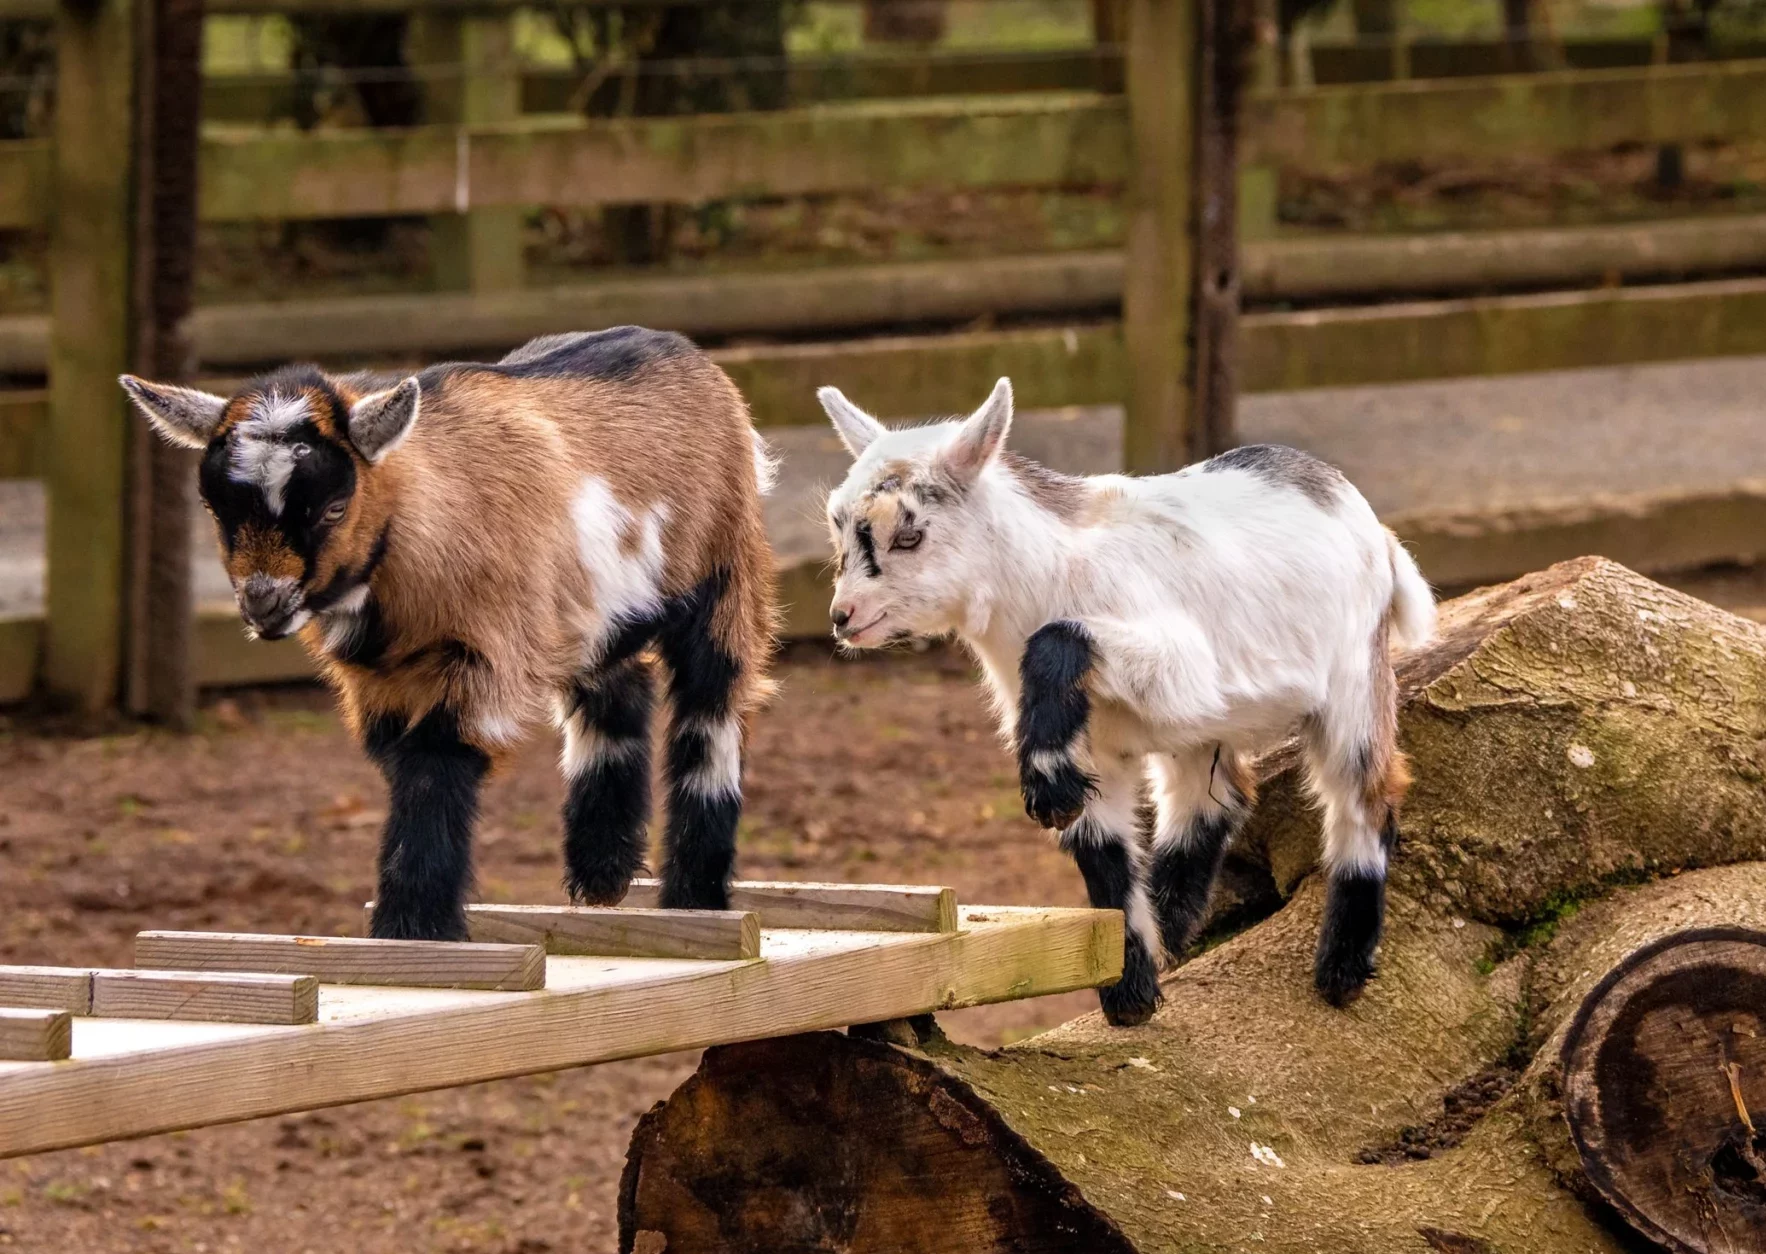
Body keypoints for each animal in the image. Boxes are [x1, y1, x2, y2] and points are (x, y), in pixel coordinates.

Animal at [122, 328, 777, 939]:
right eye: (218, 511)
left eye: (333, 508)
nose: (264, 602)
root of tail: (686, 352)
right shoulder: (379, 682)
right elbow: (402, 762)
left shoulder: (487, 652)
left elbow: (436, 760)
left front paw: (412, 926)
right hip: (589, 614)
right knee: (618, 693)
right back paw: (601, 873)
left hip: (726, 569)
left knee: (712, 709)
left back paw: (693, 896)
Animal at [817, 378, 1434, 1025]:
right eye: (838, 529)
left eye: (909, 535)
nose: (843, 617)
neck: (1050, 573)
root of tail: (1369, 522)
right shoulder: (1096, 745)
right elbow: (1104, 857)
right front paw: (1130, 994)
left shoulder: (1182, 667)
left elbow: (1059, 638)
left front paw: (1046, 788)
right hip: (1202, 731)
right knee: (1215, 797)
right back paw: (1173, 924)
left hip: (1352, 679)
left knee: (1364, 796)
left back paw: (1342, 971)